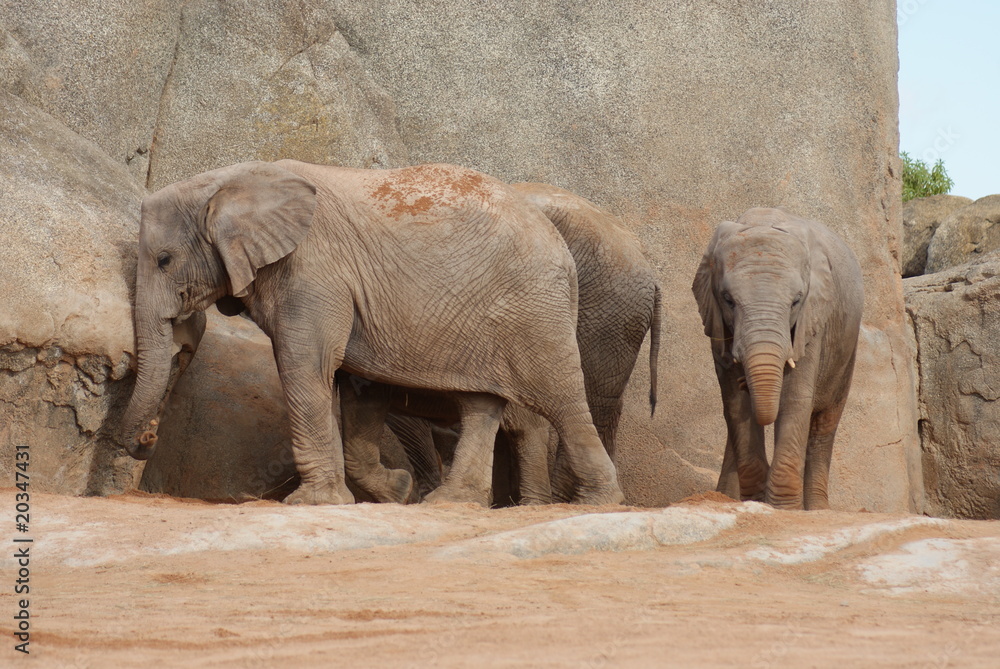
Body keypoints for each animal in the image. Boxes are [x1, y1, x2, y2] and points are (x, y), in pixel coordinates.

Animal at [119, 160, 624, 507]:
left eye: (163, 260)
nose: (147, 439)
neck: (230, 180)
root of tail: (562, 249)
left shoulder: (315, 271)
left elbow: (305, 369)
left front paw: (310, 503)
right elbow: (354, 386)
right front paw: (396, 491)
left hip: (533, 310)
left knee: (560, 397)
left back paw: (596, 503)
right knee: (482, 402)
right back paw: (448, 502)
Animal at [692, 207, 863, 510]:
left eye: (796, 301)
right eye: (728, 299)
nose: (746, 381)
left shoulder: (812, 321)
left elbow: (795, 399)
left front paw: (783, 508)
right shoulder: (717, 326)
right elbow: (735, 404)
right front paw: (757, 502)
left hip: (846, 349)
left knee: (824, 425)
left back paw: (817, 510)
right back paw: (724, 498)